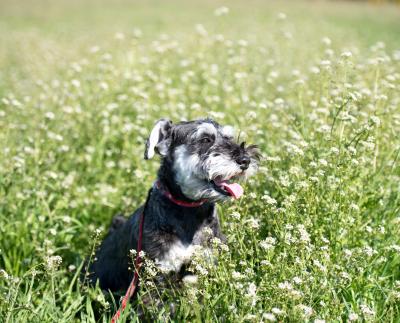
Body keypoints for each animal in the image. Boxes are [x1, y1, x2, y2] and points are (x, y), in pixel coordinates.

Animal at [88, 119, 260, 296]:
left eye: (228, 138)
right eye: (205, 139)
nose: (246, 160)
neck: (189, 211)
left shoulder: (202, 264)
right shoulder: (157, 273)